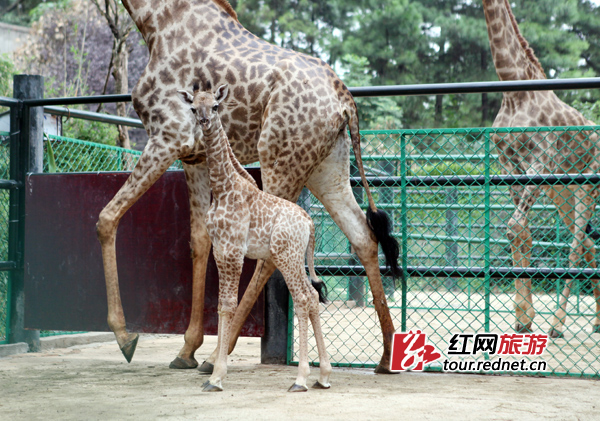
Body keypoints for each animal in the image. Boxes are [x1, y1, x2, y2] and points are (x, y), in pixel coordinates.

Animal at [177, 83, 332, 392]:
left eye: (215, 106)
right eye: (193, 108)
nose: (205, 122)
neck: (222, 189)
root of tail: (309, 223)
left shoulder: (233, 251)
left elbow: (229, 305)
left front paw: (218, 376)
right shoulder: (220, 250)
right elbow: (221, 306)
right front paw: (213, 375)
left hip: (286, 256)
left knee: (302, 298)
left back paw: (301, 379)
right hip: (293, 258)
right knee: (311, 295)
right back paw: (323, 376)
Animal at [482, 0, 600, 336]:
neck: (513, 88)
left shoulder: (540, 159)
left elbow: (514, 227)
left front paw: (526, 314)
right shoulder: (509, 166)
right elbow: (521, 232)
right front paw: (523, 318)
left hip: (588, 186)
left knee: (576, 246)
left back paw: (558, 323)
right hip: (562, 192)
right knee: (589, 245)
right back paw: (597, 321)